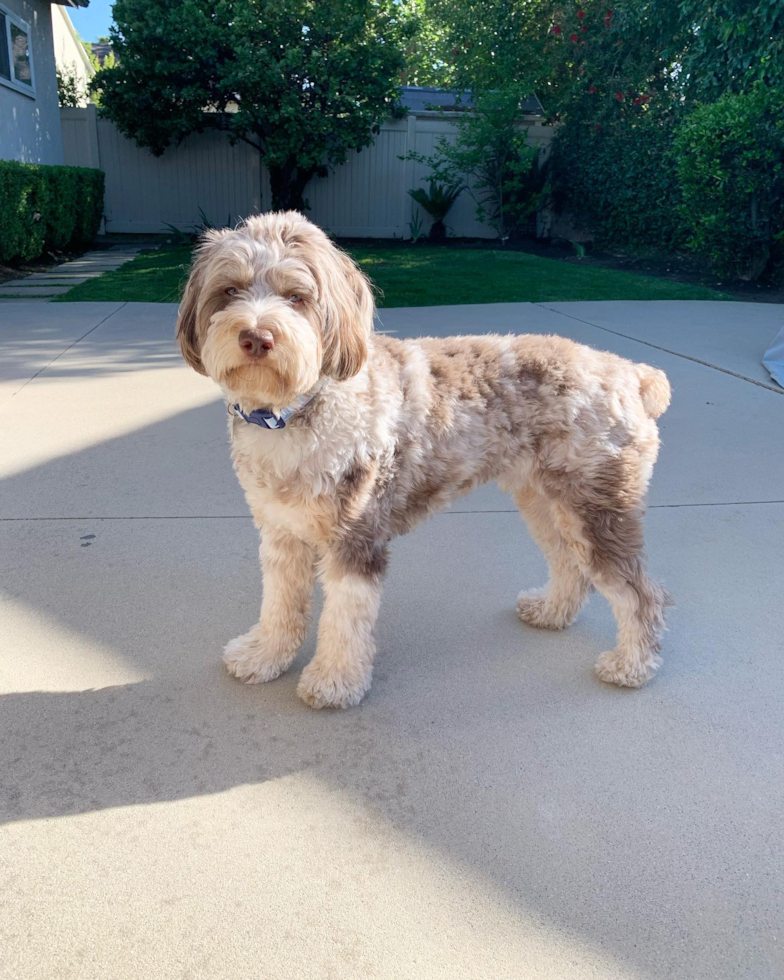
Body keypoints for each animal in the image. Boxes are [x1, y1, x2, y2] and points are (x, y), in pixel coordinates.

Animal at [178, 211, 672, 708]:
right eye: (230, 290)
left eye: (297, 297)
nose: (256, 337)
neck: (294, 410)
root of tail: (630, 371)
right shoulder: (281, 530)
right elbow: (279, 602)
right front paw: (265, 655)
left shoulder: (356, 536)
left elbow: (345, 618)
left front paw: (335, 681)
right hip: (545, 500)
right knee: (570, 564)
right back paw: (552, 611)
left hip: (598, 506)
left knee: (640, 593)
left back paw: (631, 665)